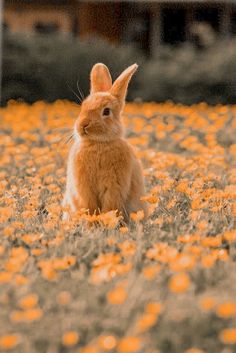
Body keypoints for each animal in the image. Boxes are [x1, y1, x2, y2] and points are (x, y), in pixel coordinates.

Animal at [62, 62, 148, 221]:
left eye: (106, 111)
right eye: (83, 107)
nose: (82, 125)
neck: (98, 144)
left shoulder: (114, 185)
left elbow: (110, 205)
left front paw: (105, 221)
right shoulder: (83, 187)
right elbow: (88, 205)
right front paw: (92, 221)